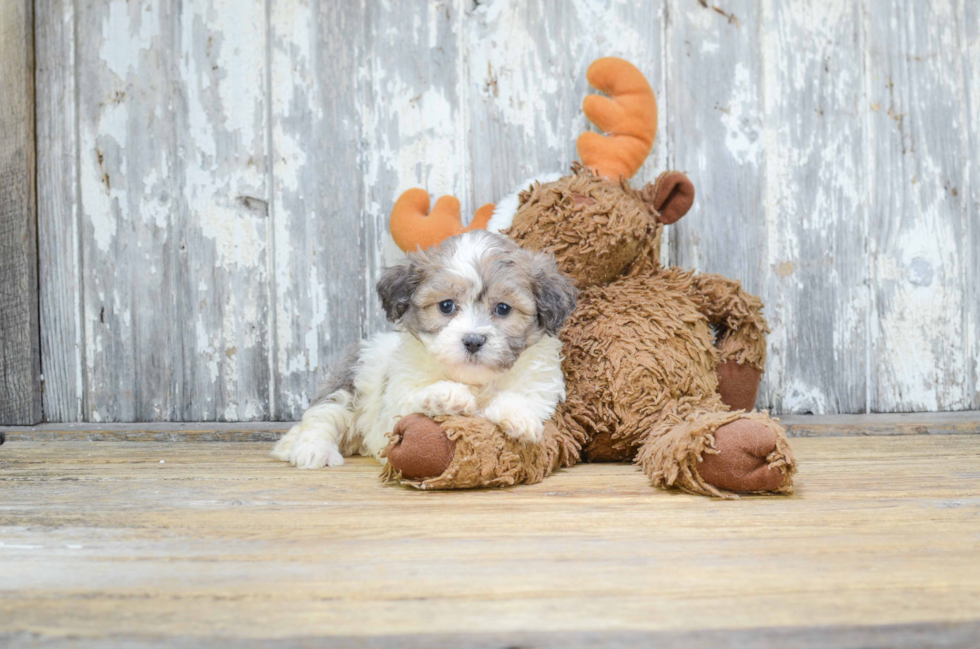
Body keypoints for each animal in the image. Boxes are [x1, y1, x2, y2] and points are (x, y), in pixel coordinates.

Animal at [272, 230, 580, 468]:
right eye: (446, 305)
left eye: (503, 308)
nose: (473, 340)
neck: (475, 382)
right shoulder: (395, 401)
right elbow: (413, 399)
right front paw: (448, 395)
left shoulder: (541, 386)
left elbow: (525, 398)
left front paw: (518, 416)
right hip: (349, 383)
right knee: (323, 418)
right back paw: (312, 450)